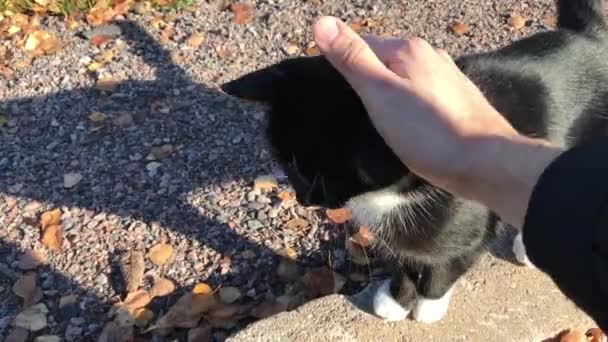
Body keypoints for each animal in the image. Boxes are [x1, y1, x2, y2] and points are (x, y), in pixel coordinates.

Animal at [221, 0, 608, 324]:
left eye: (320, 178)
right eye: (287, 166)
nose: (305, 200)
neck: (390, 197)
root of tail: (589, 36)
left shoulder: (472, 231)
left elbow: (443, 268)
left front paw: (428, 307)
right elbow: (406, 262)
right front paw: (395, 299)